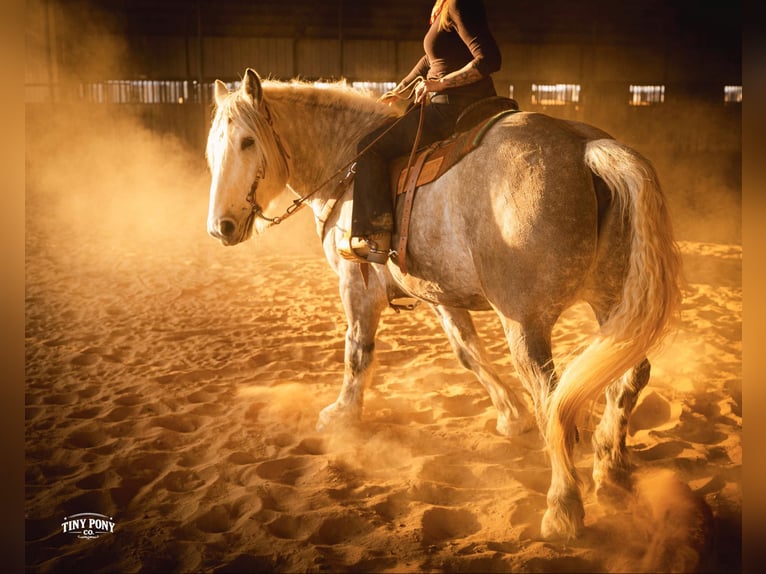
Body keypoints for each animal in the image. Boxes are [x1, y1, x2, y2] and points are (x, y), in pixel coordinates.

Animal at [205, 68, 682, 541]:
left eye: (247, 141)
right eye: (213, 150)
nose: (220, 227)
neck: (346, 166)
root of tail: (584, 148)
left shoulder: (356, 287)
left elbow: (357, 352)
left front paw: (342, 416)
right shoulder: (436, 292)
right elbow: (467, 350)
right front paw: (511, 415)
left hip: (526, 322)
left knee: (556, 399)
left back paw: (562, 509)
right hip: (611, 300)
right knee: (629, 376)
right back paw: (611, 468)